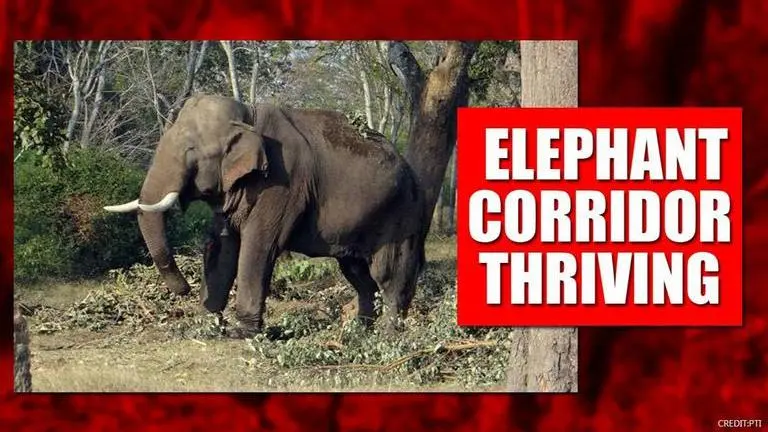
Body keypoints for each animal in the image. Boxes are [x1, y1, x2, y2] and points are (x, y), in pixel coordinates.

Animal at [105, 94, 427, 338]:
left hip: (401, 217)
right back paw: (359, 332)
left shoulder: (283, 182)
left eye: (192, 152)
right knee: (359, 275)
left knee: (389, 274)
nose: (183, 290)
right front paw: (204, 326)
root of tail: (413, 174)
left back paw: (388, 335)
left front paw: (241, 333)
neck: (248, 115)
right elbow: (222, 247)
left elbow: (258, 245)